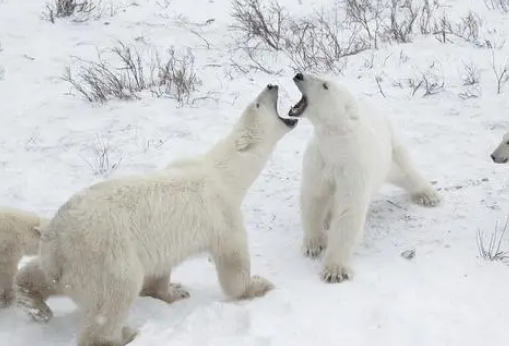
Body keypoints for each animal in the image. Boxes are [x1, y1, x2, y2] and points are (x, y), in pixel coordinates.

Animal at [14, 84, 298, 346]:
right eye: (257, 104)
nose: (272, 85)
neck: (225, 172)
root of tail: (57, 242)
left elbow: (160, 268)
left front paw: (174, 291)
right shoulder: (223, 214)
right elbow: (233, 264)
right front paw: (259, 285)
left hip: (63, 262)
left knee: (39, 275)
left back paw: (33, 303)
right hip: (103, 256)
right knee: (115, 296)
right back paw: (124, 334)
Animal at [288, 73, 438, 284]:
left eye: (325, 85)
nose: (299, 75)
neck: (336, 144)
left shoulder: (353, 164)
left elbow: (349, 208)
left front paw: (335, 270)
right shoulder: (319, 159)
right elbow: (314, 196)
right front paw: (314, 244)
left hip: (389, 150)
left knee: (405, 168)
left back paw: (428, 195)